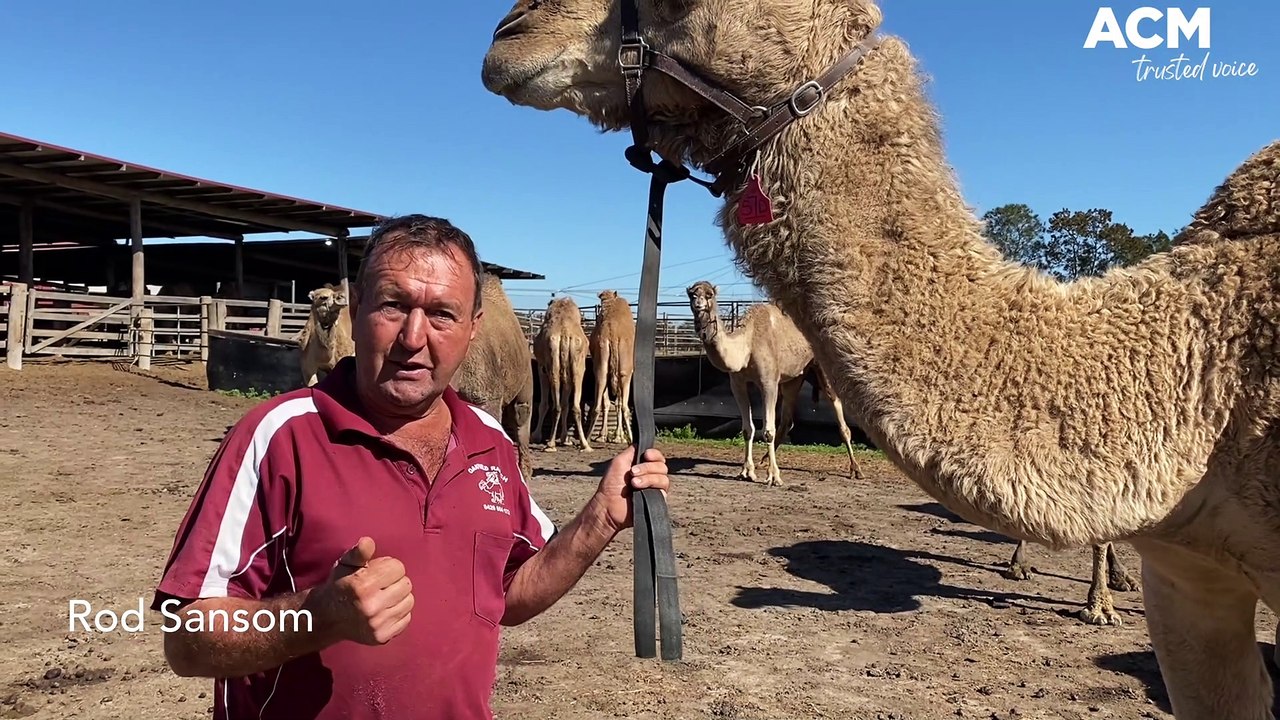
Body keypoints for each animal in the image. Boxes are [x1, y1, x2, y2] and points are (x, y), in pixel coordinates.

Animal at [532, 296, 593, 452]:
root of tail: (565, 334)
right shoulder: (568, 372)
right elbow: (566, 404)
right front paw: (565, 439)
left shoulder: (542, 367)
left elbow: (544, 404)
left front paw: (536, 436)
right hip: (578, 367)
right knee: (573, 406)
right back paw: (585, 444)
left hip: (552, 363)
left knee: (556, 406)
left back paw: (550, 444)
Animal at [584, 289, 636, 444]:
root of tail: (612, 335)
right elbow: (617, 403)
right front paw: (617, 437)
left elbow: (608, 402)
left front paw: (605, 436)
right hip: (624, 372)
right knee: (623, 405)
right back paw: (630, 438)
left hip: (602, 366)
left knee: (599, 402)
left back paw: (587, 439)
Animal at [687, 280, 862, 486]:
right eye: (692, 294)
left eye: (709, 295)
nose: (698, 304)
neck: (747, 344)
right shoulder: (737, 384)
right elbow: (747, 429)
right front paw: (746, 471)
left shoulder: (768, 382)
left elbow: (768, 430)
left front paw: (774, 476)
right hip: (794, 378)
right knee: (787, 420)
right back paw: (763, 460)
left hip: (822, 369)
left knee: (839, 415)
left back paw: (856, 469)